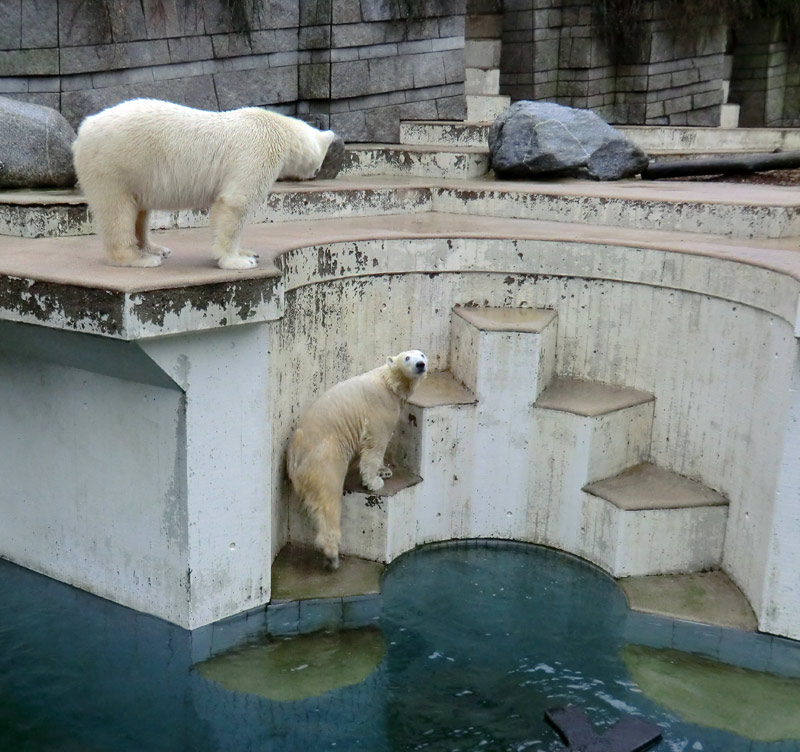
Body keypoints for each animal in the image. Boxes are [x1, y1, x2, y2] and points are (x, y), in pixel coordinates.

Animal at [72, 95, 338, 268]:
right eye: (321, 158)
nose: (316, 172)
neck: (279, 129)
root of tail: (83, 131)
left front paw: (248, 252)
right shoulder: (257, 152)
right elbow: (235, 203)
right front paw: (238, 260)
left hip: (136, 172)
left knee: (139, 210)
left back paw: (155, 248)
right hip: (114, 164)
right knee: (117, 211)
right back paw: (139, 258)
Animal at [286, 352, 428, 568]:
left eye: (422, 354)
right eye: (407, 358)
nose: (421, 364)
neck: (389, 381)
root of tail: (294, 455)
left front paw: (385, 471)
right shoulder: (380, 407)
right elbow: (375, 445)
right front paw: (374, 482)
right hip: (325, 459)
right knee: (328, 500)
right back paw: (331, 553)